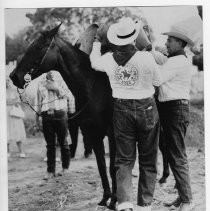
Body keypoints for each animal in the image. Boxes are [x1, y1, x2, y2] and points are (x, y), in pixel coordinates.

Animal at [9, 23, 117, 210]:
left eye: (38, 47)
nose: (14, 76)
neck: (94, 90)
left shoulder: (112, 134)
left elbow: (113, 167)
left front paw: (115, 201)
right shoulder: (93, 134)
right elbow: (102, 167)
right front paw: (105, 199)